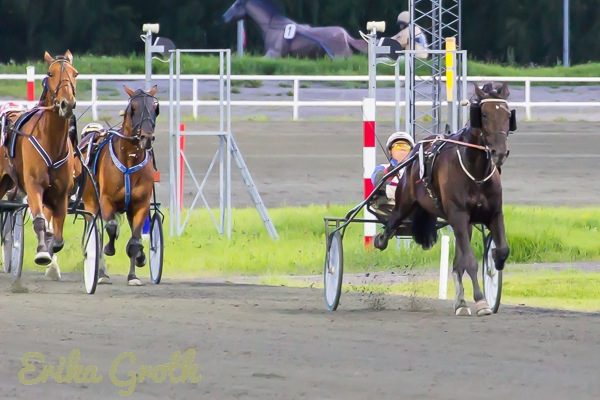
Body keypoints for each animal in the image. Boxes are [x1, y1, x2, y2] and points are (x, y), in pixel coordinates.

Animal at [0, 50, 77, 280]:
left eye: (75, 73)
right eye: (50, 73)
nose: (66, 104)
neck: (51, 140)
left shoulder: (61, 194)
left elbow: (58, 235)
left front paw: (50, 250)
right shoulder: (34, 186)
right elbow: (40, 221)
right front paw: (43, 252)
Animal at [83, 86, 162, 286]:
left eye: (156, 107)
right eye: (133, 108)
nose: (146, 137)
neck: (129, 159)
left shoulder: (140, 204)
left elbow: (135, 241)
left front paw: (135, 271)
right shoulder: (106, 201)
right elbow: (111, 228)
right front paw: (109, 249)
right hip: (91, 203)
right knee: (98, 231)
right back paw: (100, 272)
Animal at [372, 83, 512, 318]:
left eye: (508, 114)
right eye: (483, 114)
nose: (499, 152)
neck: (475, 170)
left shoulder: (493, 213)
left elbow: (501, 251)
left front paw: (493, 265)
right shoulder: (458, 215)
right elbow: (470, 261)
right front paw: (481, 301)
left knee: (457, 263)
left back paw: (461, 302)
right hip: (406, 202)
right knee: (392, 223)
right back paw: (380, 239)